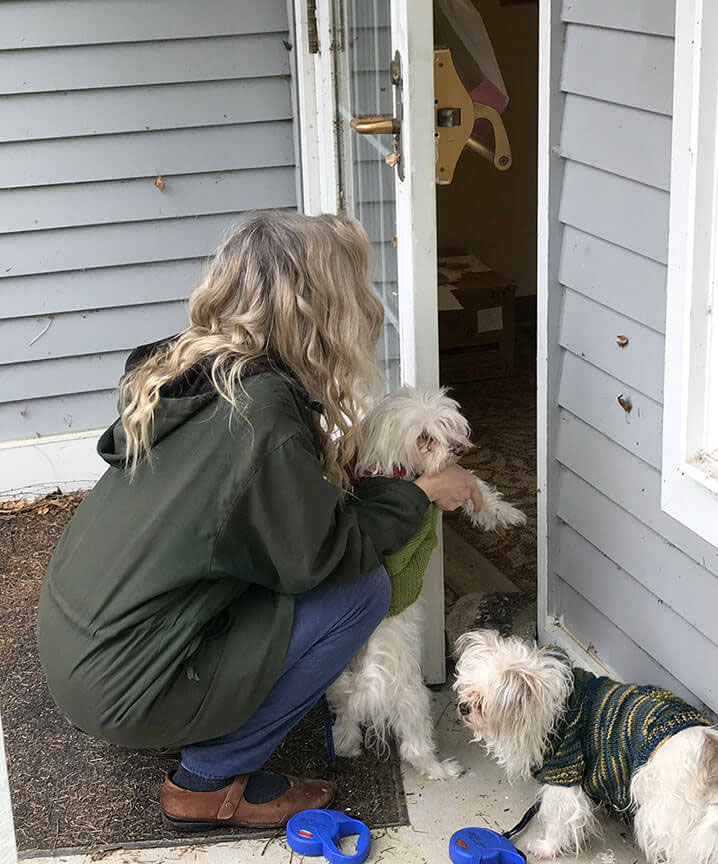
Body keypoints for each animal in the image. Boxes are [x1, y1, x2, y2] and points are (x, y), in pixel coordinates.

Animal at [330, 388, 524, 780]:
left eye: (448, 426)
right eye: (424, 437)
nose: (458, 449)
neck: (395, 471)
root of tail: (369, 686)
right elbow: (475, 486)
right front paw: (508, 515)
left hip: (343, 696)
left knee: (344, 723)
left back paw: (346, 746)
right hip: (413, 699)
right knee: (413, 748)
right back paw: (442, 769)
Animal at [456, 628, 718, 864]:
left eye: (481, 702)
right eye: (467, 687)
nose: (463, 707)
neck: (558, 708)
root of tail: (709, 746)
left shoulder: (564, 772)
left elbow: (558, 819)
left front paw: (547, 848)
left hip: (662, 812)